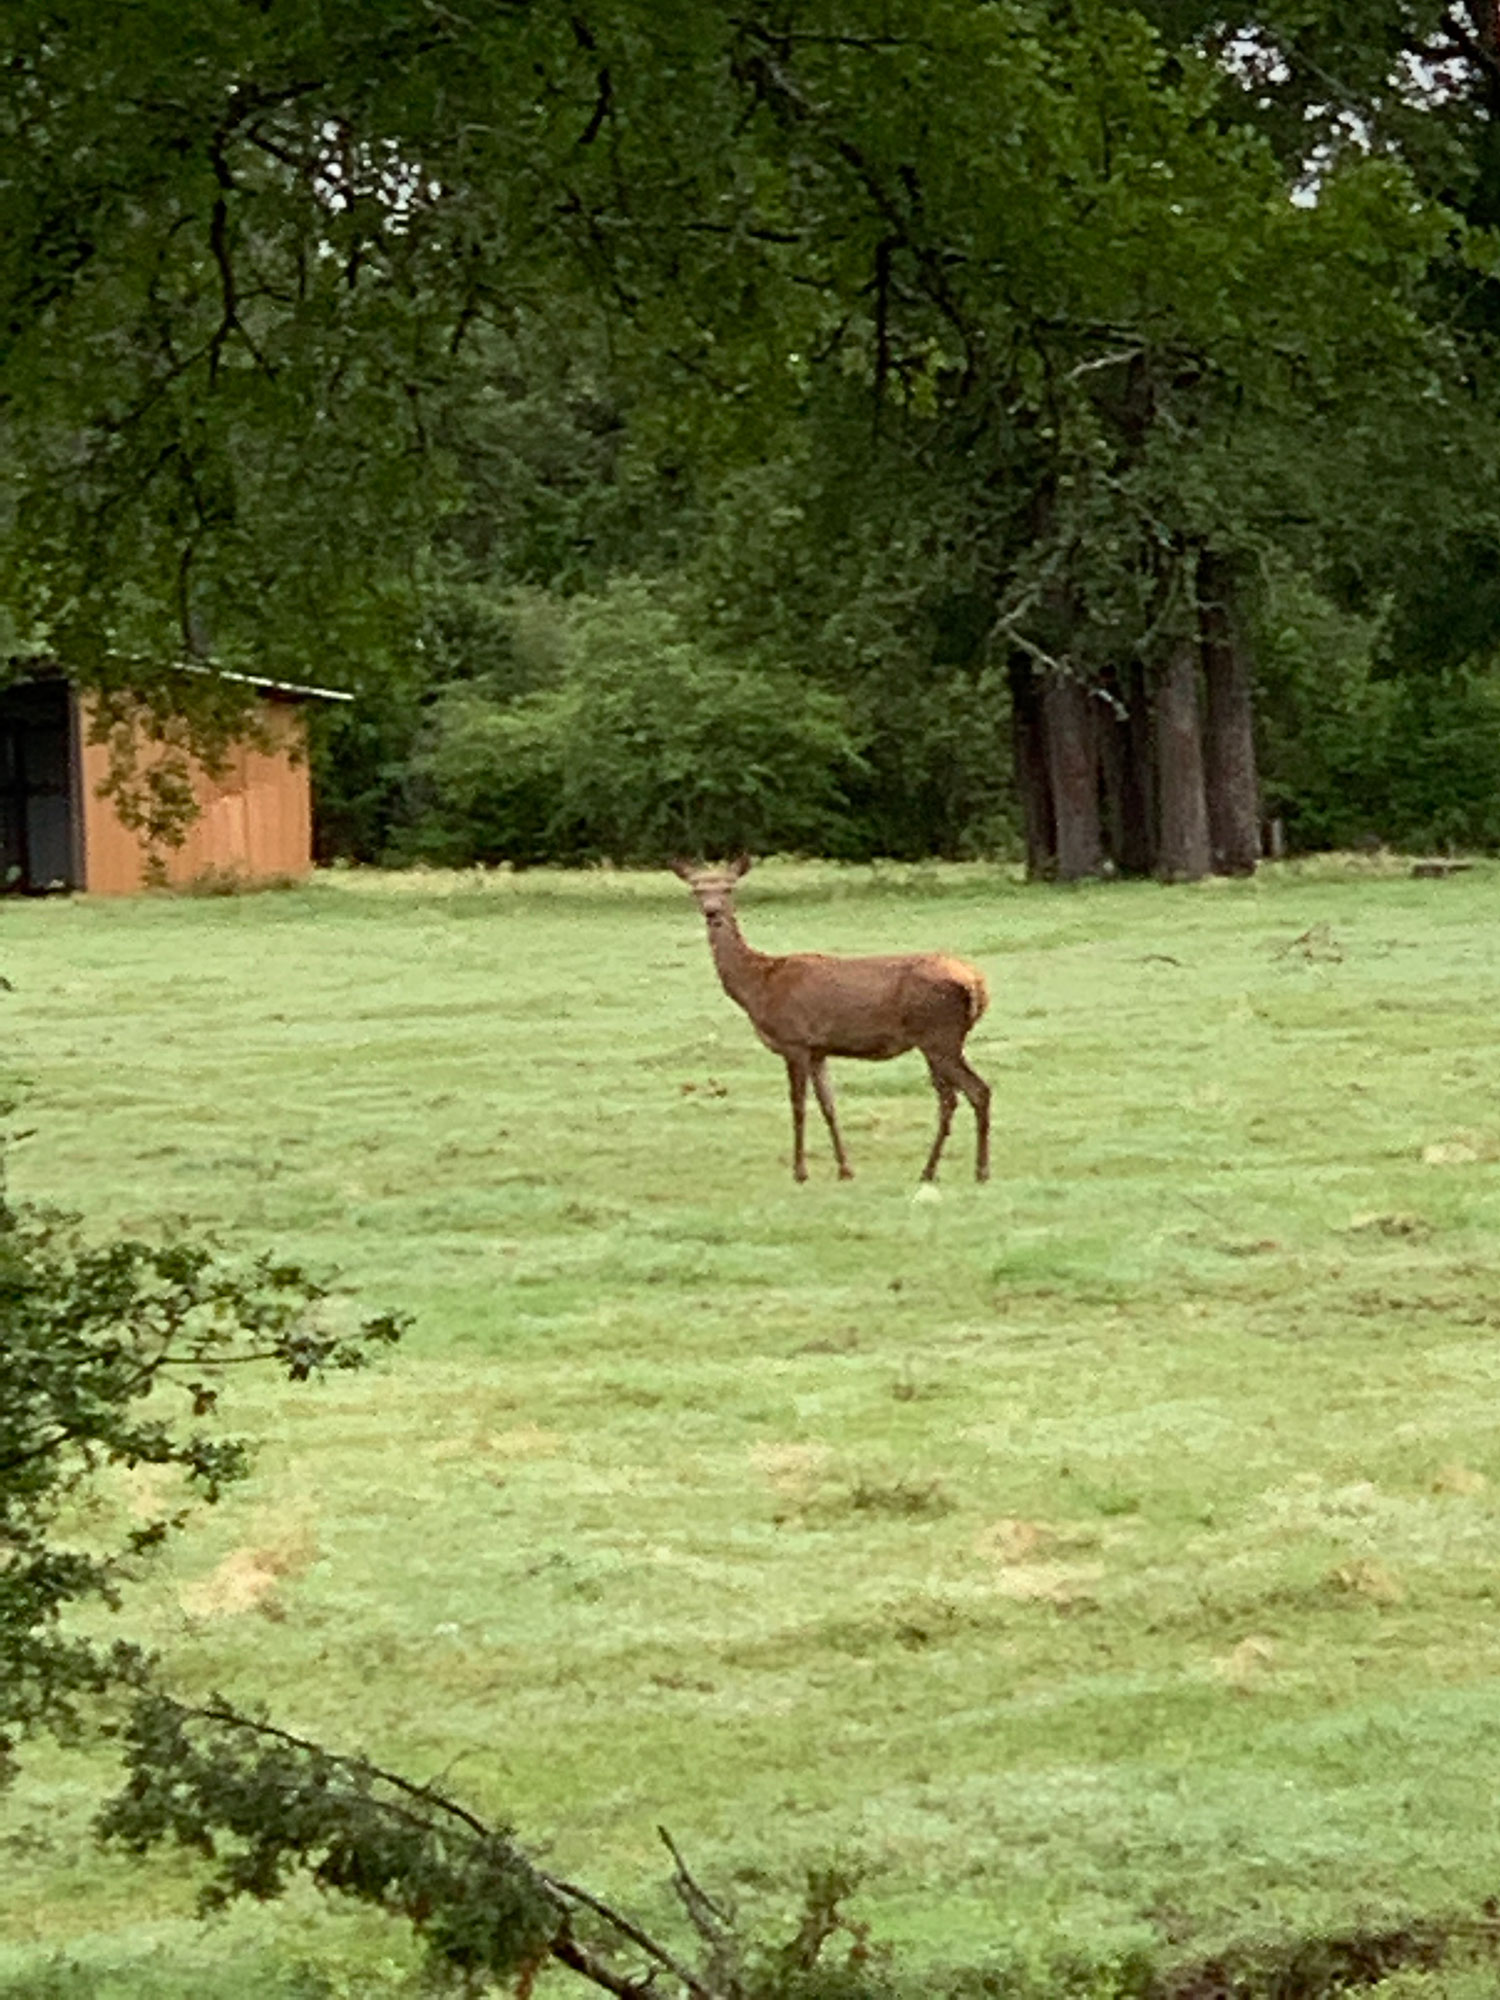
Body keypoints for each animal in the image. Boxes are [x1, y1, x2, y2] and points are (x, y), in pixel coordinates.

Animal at [671, 857, 990, 1184]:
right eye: (696, 889)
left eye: (728, 887)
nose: (712, 912)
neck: (758, 986)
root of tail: (977, 984)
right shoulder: (818, 1049)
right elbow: (829, 1105)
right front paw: (845, 1169)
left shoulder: (794, 1041)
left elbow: (798, 1106)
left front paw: (800, 1172)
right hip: (938, 1040)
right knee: (953, 1097)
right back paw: (936, 1170)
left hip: (938, 1035)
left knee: (974, 1091)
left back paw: (973, 1171)